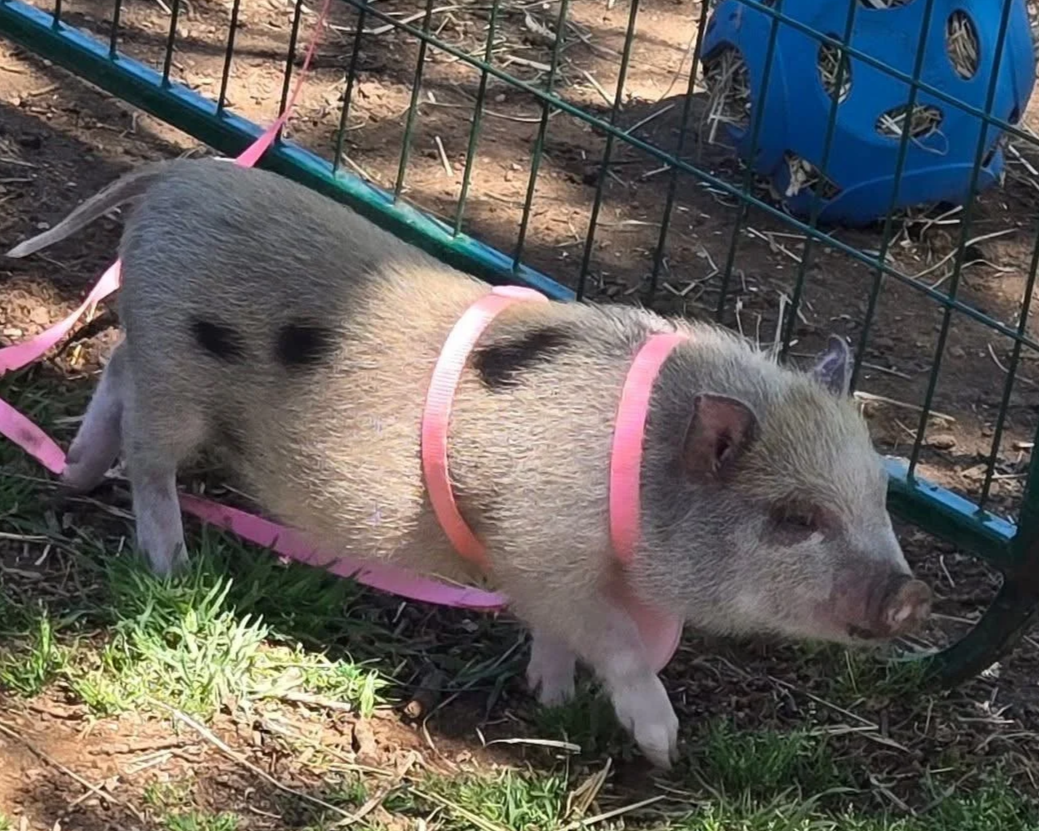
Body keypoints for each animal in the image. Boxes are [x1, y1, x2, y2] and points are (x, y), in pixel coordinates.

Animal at [6, 158, 931, 768]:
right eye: (796, 518)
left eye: (877, 497)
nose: (911, 595)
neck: (635, 474)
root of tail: (177, 177)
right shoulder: (537, 547)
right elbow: (612, 641)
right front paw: (661, 745)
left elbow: (559, 635)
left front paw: (550, 697)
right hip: (177, 379)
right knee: (146, 451)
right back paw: (169, 563)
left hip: (155, 354)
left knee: (113, 370)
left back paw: (76, 474)